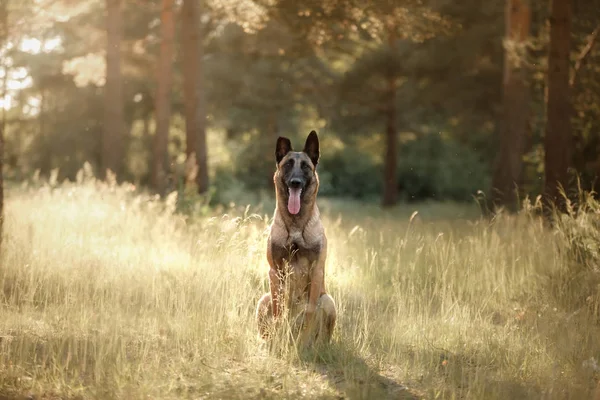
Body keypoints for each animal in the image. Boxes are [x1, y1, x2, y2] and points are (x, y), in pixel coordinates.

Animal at [254, 131, 338, 346]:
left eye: (306, 167)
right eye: (288, 165)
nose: (295, 182)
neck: (295, 224)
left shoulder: (316, 271)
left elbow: (309, 313)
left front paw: (304, 342)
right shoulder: (274, 272)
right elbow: (278, 310)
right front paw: (278, 337)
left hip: (328, 301)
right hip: (263, 299)